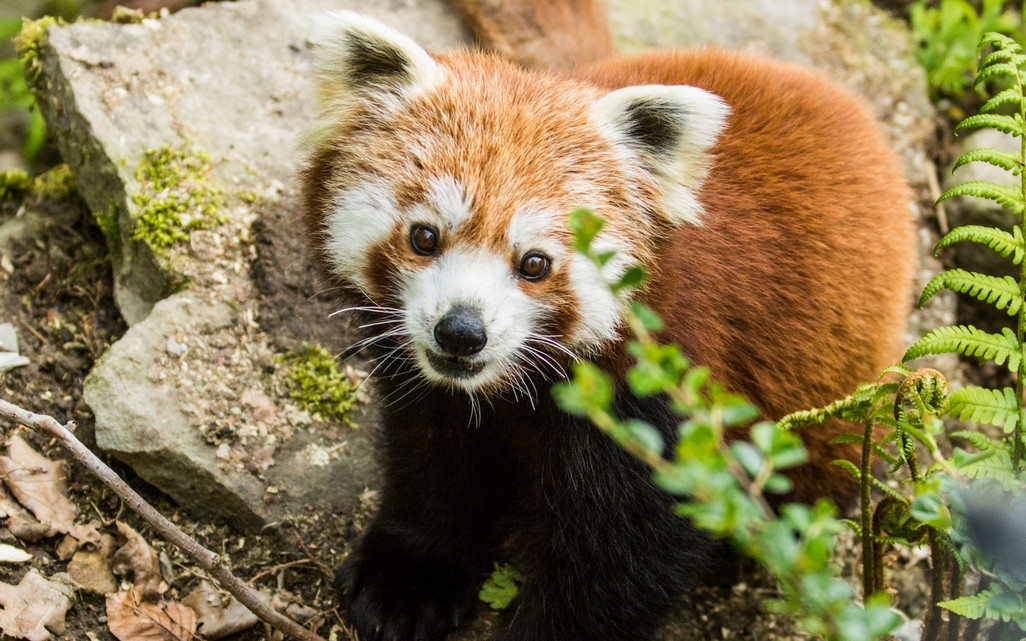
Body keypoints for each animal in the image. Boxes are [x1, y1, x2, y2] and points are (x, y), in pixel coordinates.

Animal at [297, 8, 915, 639]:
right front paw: (410, 576)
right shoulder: (426, 379)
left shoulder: (662, 382)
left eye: (535, 263)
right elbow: (430, 455)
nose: (462, 332)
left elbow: (627, 558)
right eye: (425, 236)